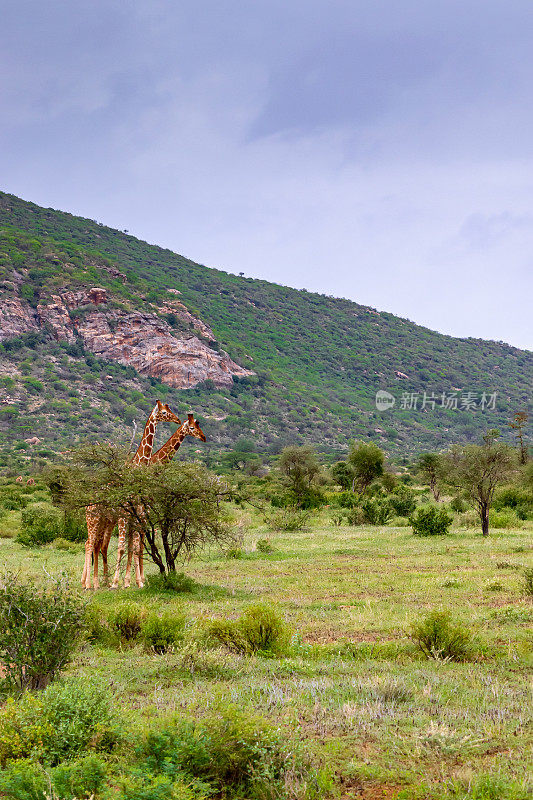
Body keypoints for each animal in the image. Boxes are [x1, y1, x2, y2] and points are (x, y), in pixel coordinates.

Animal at [80, 404, 181, 592]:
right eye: (164, 412)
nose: (177, 419)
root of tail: (87, 502)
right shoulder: (127, 516)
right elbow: (124, 547)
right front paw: (120, 583)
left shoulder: (137, 517)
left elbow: (134, 547)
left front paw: (133, 581)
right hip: (94, 519)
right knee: (90, 544)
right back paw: (89, 584)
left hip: (105, 521)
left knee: (96, 545)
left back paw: (96, 582)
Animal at [110, 416, 206, 592]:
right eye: (192, 427)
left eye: (197, 426)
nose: (203, 437)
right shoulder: (143, 510)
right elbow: (139, 543)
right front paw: (138, 580)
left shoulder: (145, 511)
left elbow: (139, 543)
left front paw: (136, 580)